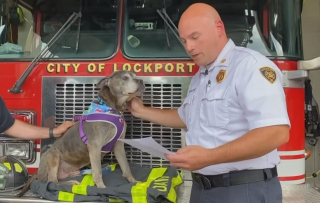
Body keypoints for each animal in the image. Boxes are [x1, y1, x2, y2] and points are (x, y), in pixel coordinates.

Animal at [18, 70, 146, 197]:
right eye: (125, 78)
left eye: (135, 76)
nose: (141, 80)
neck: (111, 108)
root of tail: (38, 172)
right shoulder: (94, 147)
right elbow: (98, 171)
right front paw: (102, 188)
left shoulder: (119, 146)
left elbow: (126, 167)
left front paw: (134, 182)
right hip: (52, 156)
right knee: (52, 181)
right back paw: (70, 182)